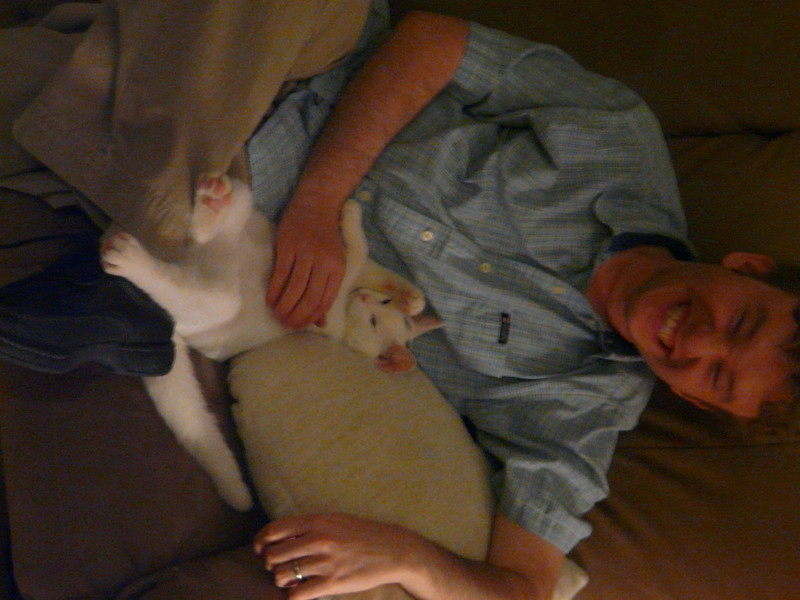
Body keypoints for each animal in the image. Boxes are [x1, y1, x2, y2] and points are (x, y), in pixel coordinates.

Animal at [100, 173, 443, 511]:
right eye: (380, 309)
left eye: (373, 321)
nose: (363, 298)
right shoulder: (350, 281)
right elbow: (369, 261)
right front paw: (412, 298)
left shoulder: (331, 315)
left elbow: (357, 253)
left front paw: (352, 220)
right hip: (247, 208)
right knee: (202, 233)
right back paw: (213, 202)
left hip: (218, 300)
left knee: (185, 281)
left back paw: (136, 259)